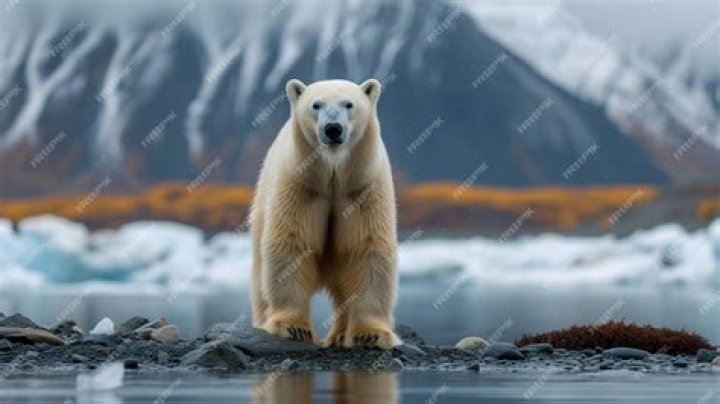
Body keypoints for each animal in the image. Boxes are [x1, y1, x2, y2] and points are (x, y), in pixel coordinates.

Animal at [249, 78, 401, 349]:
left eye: (348, 104)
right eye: (316, 105)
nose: (333, 129)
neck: (333, 176)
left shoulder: (362, 189)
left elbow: (366, 249)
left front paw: (369, 334)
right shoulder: (301, 187)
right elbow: (292, 244)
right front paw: (293, 327)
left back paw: (339, 334)